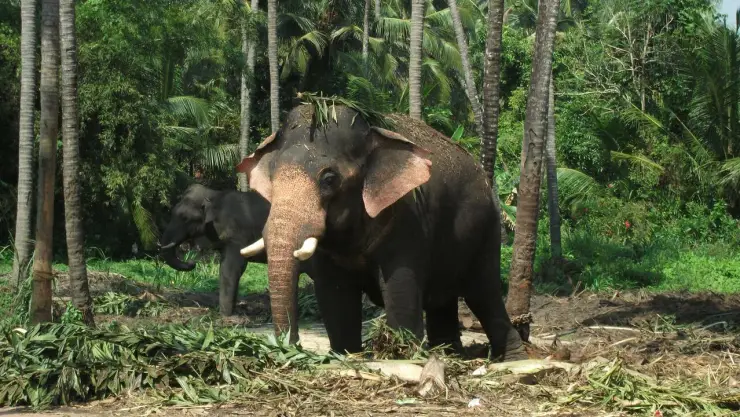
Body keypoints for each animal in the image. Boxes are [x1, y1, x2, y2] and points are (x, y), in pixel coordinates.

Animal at [236, 103, 527, 361]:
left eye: (329, 179)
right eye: (272, 178)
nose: (290, 347)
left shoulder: (407, 220)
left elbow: (400, 289)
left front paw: (403, 355)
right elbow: (335, 296)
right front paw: (346, 355)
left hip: (488, 229)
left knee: (484, 294)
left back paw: (513, 359)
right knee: (443, 301)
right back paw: (448, 355)